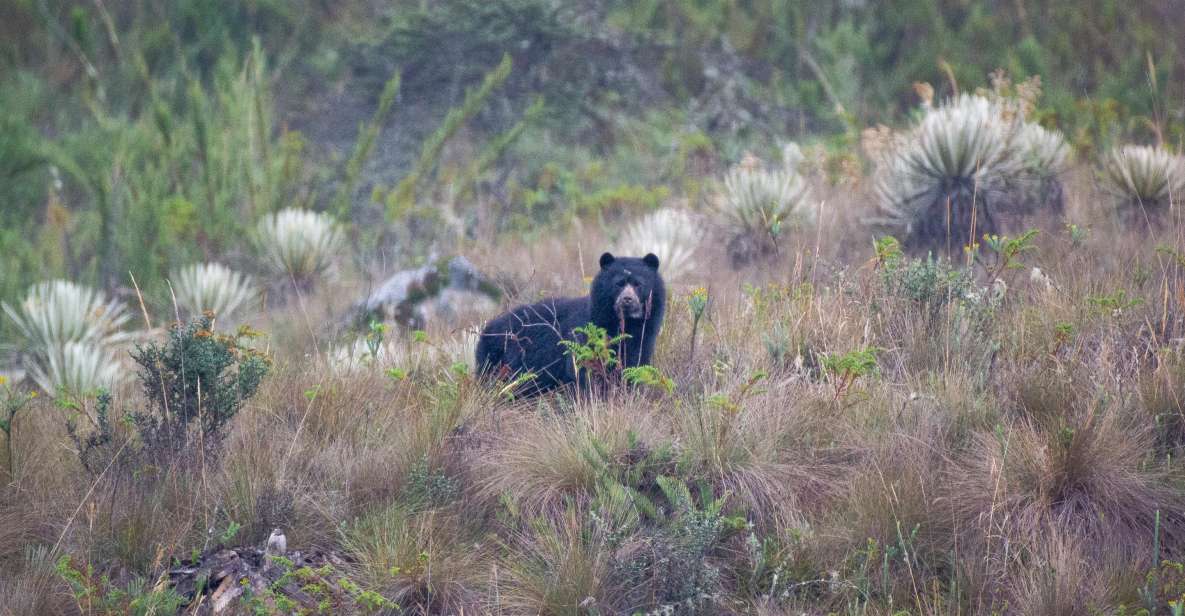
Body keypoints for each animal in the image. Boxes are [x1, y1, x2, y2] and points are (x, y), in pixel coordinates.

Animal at [478, 253, 668, 395]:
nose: (627, 300)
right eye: (618, 284)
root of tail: (487, 329)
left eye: (638, 284)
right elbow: (582, 370)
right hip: (500, 360)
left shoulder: (643, 337)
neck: (625, 324)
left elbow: (633, 366)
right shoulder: (586, 334)